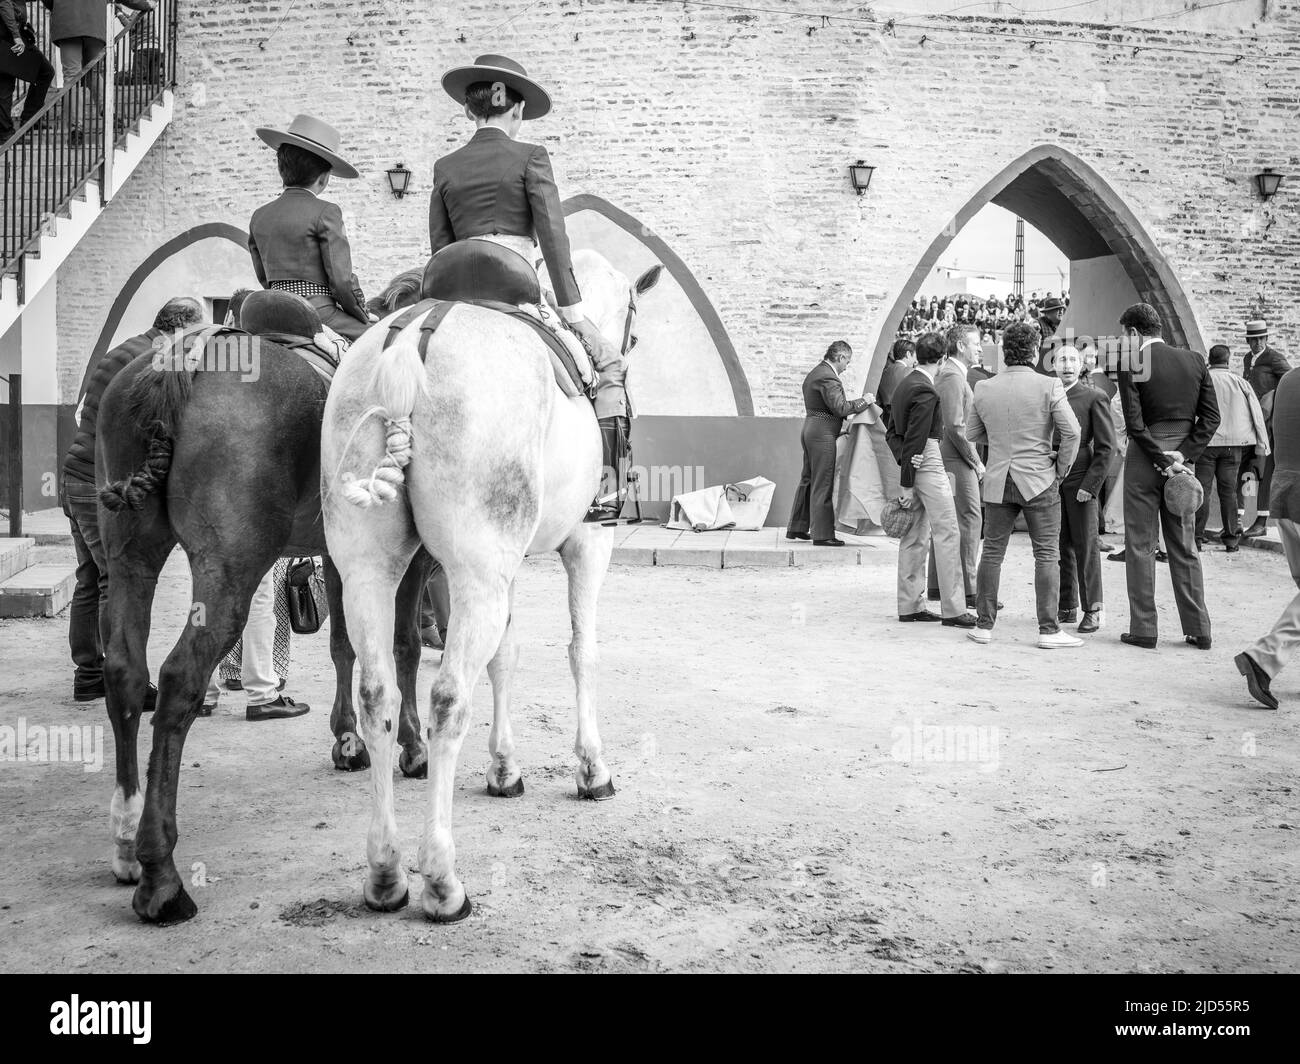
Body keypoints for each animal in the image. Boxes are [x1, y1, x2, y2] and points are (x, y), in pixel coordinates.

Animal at [98, 293, 431, 926]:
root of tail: (183, 358)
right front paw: (412, 746)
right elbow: (404, 649)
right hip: (230, 567)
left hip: (131, 556)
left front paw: (347, 740)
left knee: (125, 673)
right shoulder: (412, 557)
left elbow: (343, 646)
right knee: (178, 679)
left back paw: (126, 841)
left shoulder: (343, 554)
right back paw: (160, 875)